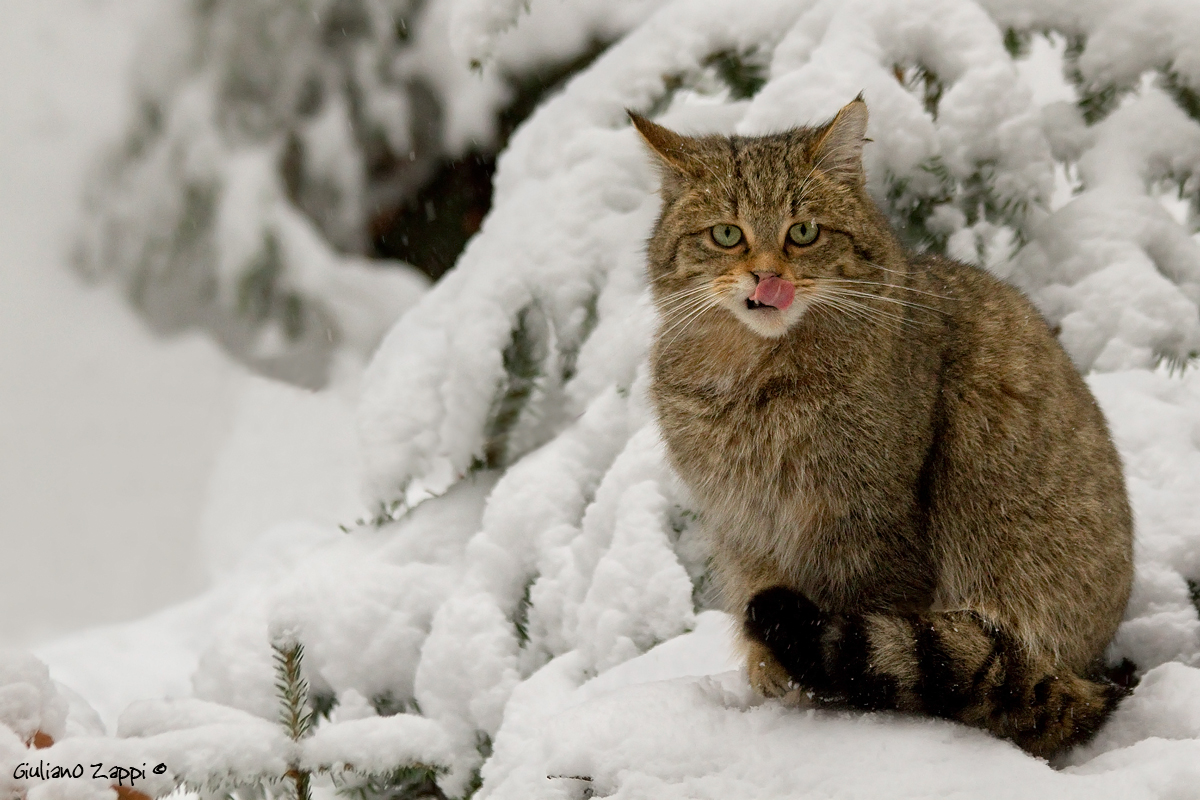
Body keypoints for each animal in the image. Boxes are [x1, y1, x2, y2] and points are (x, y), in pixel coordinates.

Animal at [638, 97, 1132, 762]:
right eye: (726, 234)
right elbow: (755, 588)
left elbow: (867, 629)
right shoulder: (741, 521)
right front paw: (768, 669)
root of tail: (1083, 672)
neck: (755, 382)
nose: (767, 278)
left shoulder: (875, 524)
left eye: (803, 232)